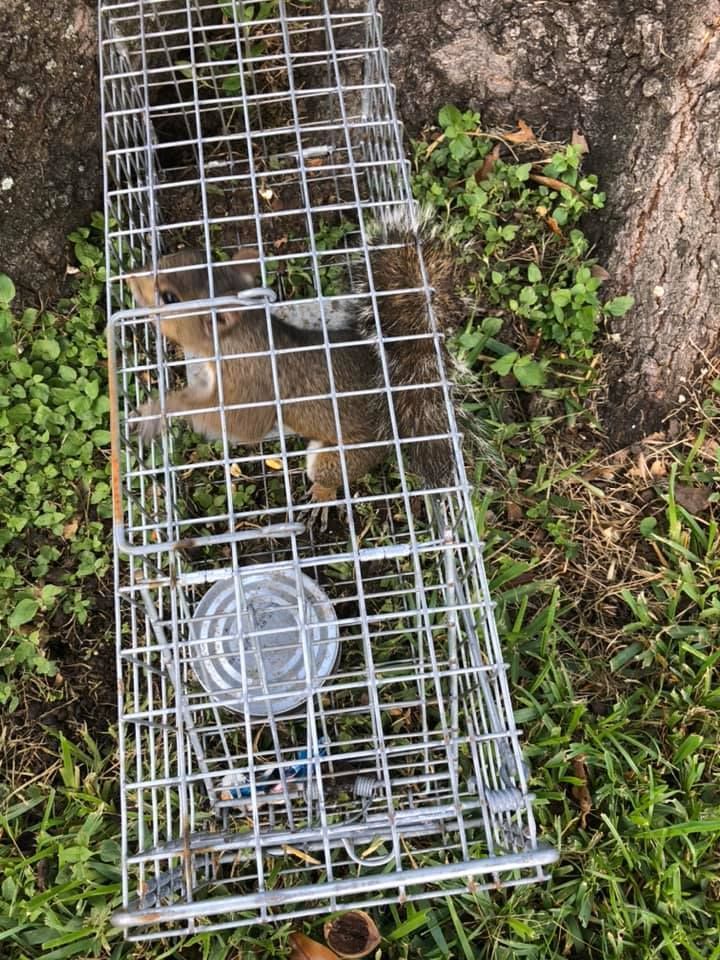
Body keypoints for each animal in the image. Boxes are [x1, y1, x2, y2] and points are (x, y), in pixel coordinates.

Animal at [128, 209, 466, 502]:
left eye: (169, 297)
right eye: (177, 256)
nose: (129, 276)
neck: (239, 339)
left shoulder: (252, 387)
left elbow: (243, 426)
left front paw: (161, 411)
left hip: (346, 454)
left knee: (331, 471)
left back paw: (321, 495)